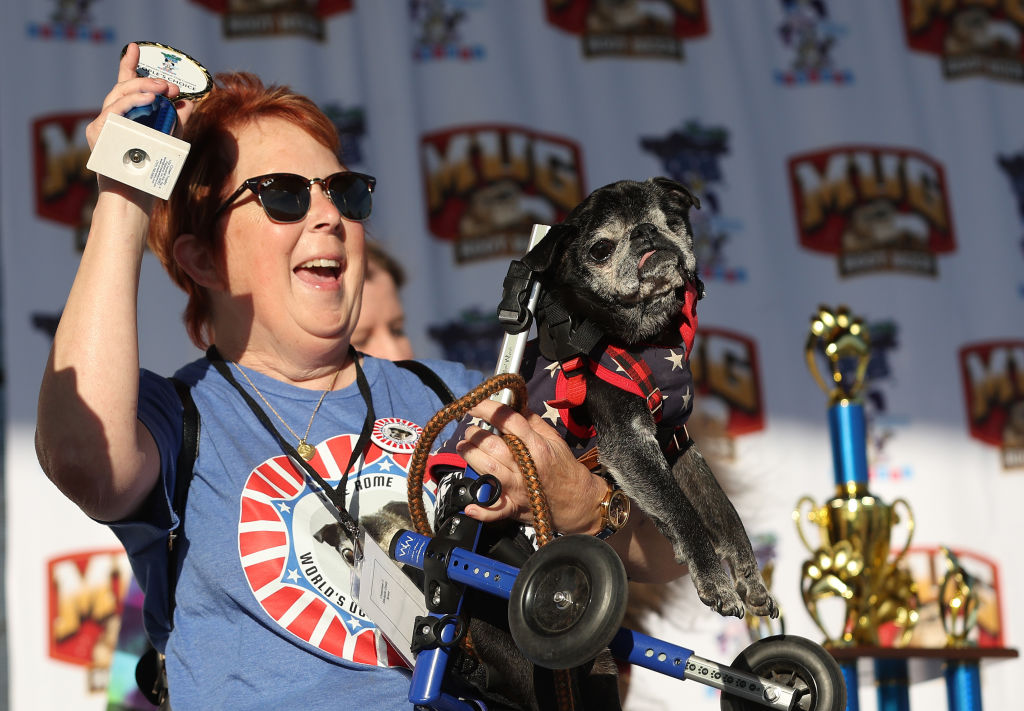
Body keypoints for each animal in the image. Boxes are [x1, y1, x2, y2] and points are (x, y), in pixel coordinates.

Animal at [512, 175, 774, 622]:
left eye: (671, 220)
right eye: (601, 249)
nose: (646, 232)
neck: (647, 338)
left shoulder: (677, 444)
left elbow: (724, 515)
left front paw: (750, 581)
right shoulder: (631, 446)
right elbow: (683, 513)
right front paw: (716, 582)